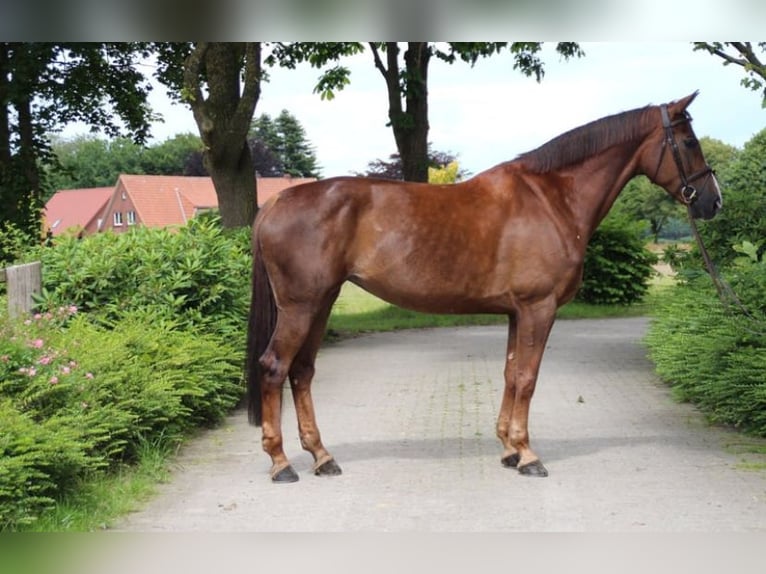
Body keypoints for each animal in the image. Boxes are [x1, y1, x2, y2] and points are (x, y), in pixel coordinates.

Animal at [244, 92, 720, 484]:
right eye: (689, 142)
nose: (712, 201)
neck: (552, 199)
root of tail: (276, 202)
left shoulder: (516, 312)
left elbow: (510, 373)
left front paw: (509, 448)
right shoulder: (538, 307)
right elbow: (527, 377)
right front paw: (528, 455)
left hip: (321, 303)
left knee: (302, 372)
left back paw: (322, 457)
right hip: (301, 306)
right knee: (274, 367)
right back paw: (282, 464)